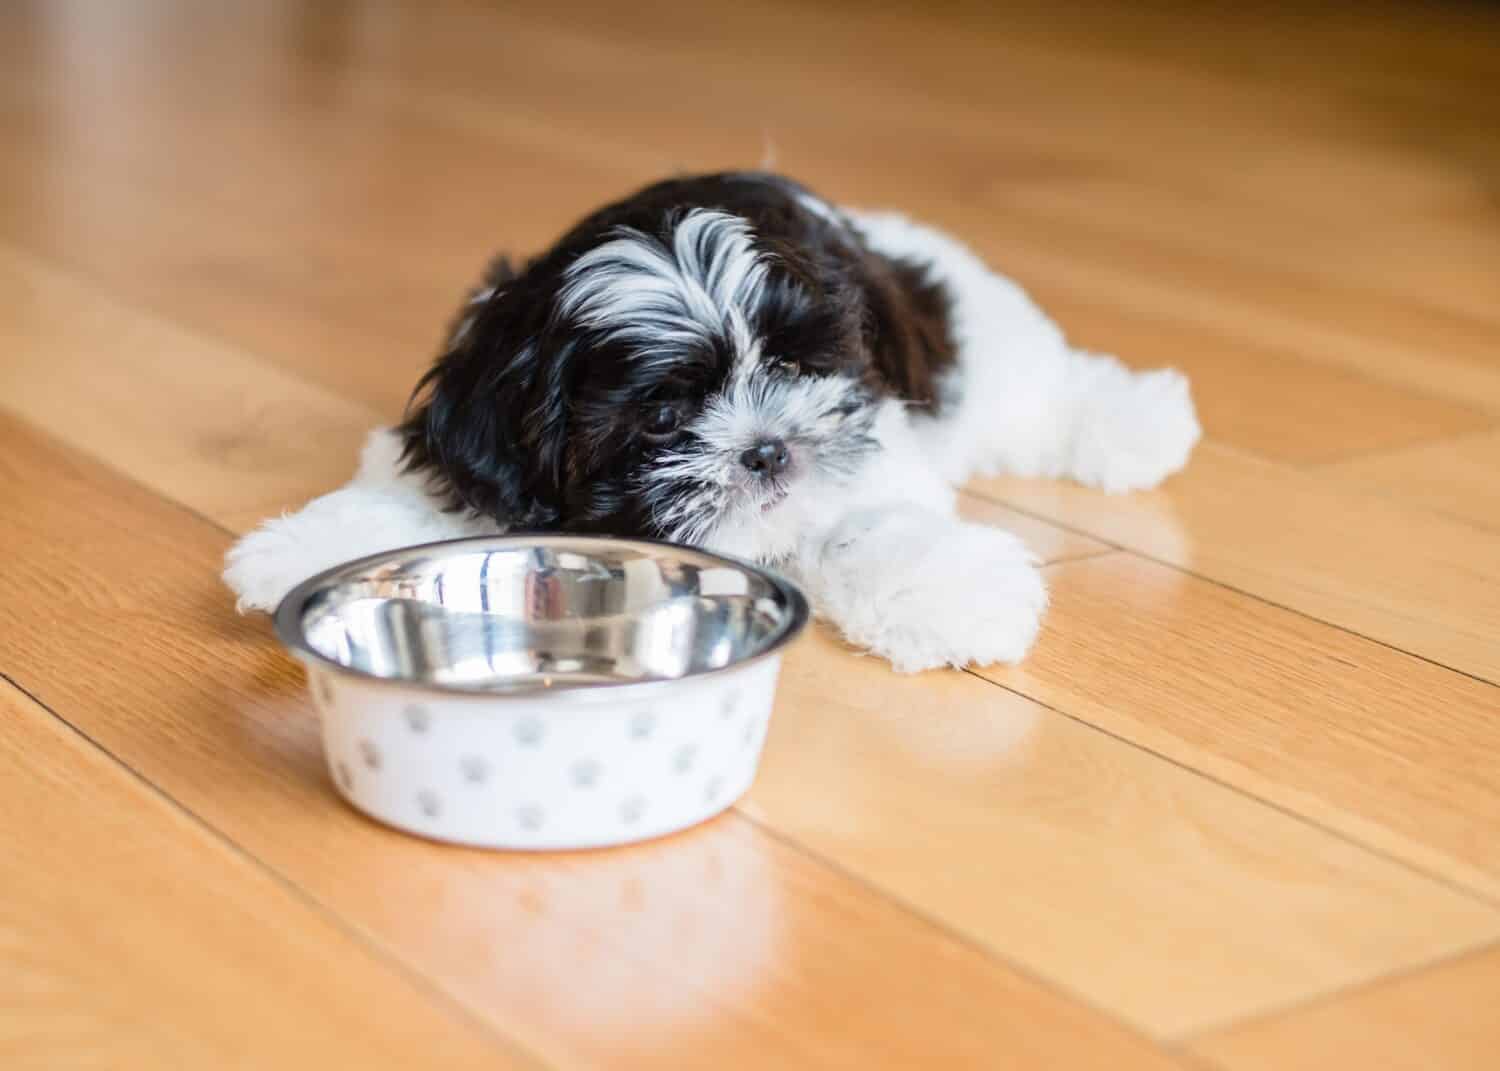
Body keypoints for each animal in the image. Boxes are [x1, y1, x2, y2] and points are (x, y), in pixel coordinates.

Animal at [222, 171, 1200, 672]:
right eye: (662, 416)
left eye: (796, 368)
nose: (765, 449)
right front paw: (304, 549)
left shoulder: (870, 451)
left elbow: (861, 525)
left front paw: (956, 597)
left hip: (977, 349)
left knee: (1047, 388)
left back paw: (1137, 421)